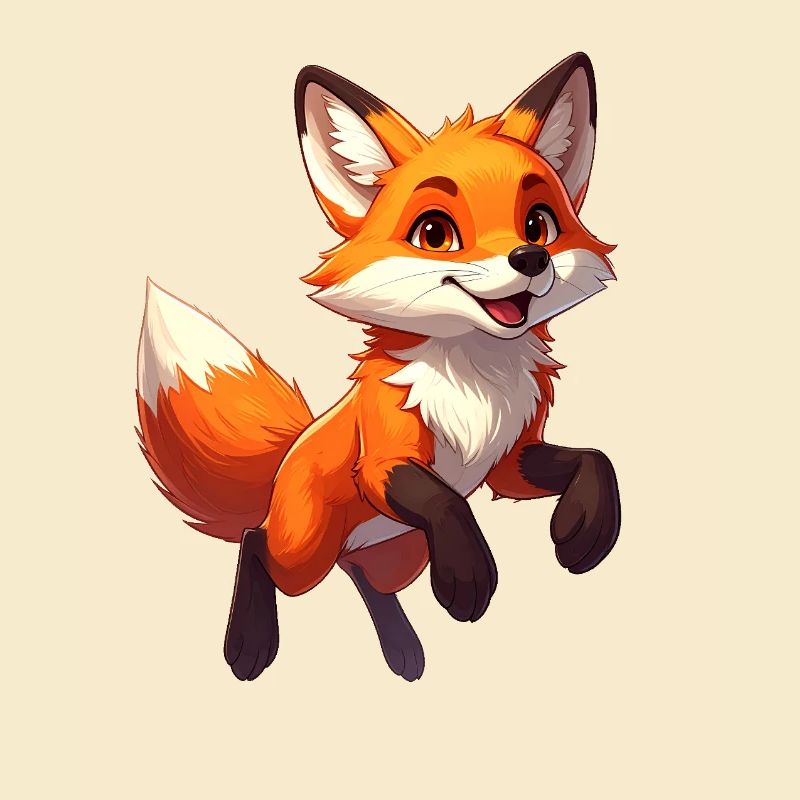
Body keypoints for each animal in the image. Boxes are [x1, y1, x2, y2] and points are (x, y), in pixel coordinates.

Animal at [136, 52, 620, 682]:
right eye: (435, 233)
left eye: (539, 224)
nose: (531, 258)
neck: (476, 383)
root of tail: (283, 465)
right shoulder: (384, 460)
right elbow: (442, 499)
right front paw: (469, 576)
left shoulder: (509, 461)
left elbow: (595, 459)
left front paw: (583, 530)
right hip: (305, 552)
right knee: (255, 543)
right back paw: (249, 643)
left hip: (399, 552)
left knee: (365, 577)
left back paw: (402, 650)